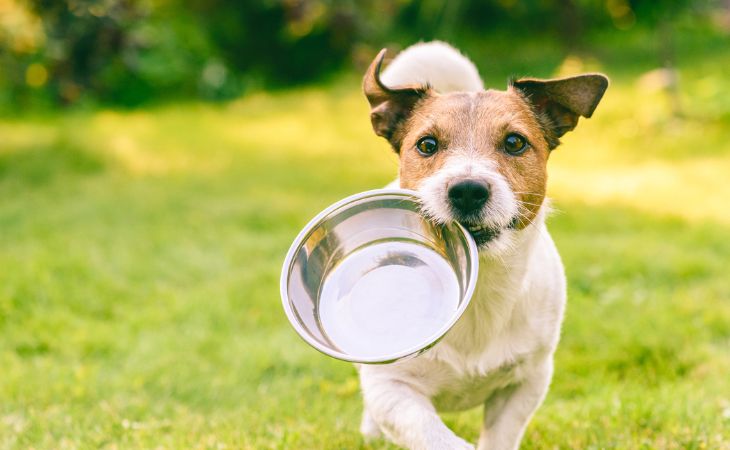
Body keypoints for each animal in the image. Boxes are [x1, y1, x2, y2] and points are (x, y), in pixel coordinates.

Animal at [356, 42, 604, 450]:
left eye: (515, 142)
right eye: (426, 145)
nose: (468, 190)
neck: (479, 286)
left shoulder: (527, 382)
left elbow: (500, 434)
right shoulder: (391, 388)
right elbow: (433, 434)